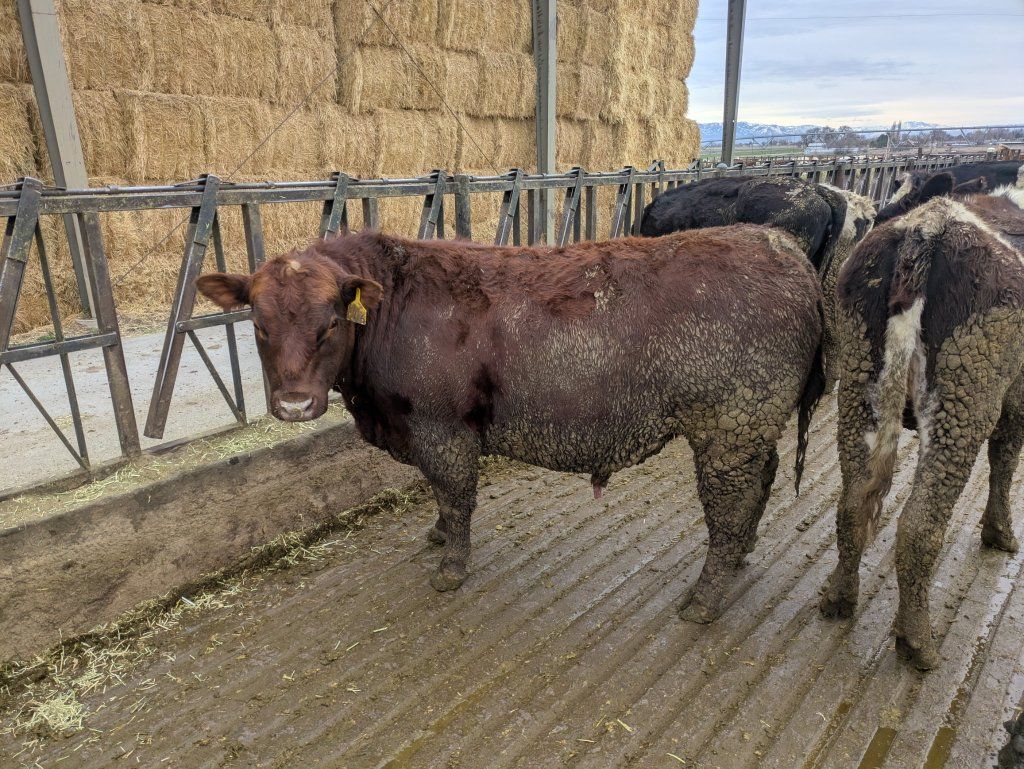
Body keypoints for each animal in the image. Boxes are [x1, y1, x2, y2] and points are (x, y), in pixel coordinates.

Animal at [197, 226, 825, 622]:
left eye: (330, 323)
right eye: (258, 325)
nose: (294, 405)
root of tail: (777, 243)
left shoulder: (441, 426)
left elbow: (454, 494)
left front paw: (451, 565)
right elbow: (440, 497)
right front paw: (438, 535)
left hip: (729, 426)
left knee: (731, 504)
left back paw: (704, 599)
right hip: (748, 429)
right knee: (760, 483)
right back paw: (741, 555)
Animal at [820, 191, 1024, 669]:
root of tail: (928, 228)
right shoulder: (1018, 393)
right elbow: (1006, 457)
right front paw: (1001, 533)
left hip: (860, 372)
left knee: (853, 502)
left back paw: (840, 595)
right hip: (966, 387)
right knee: (920, 523)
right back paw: (917, 641)